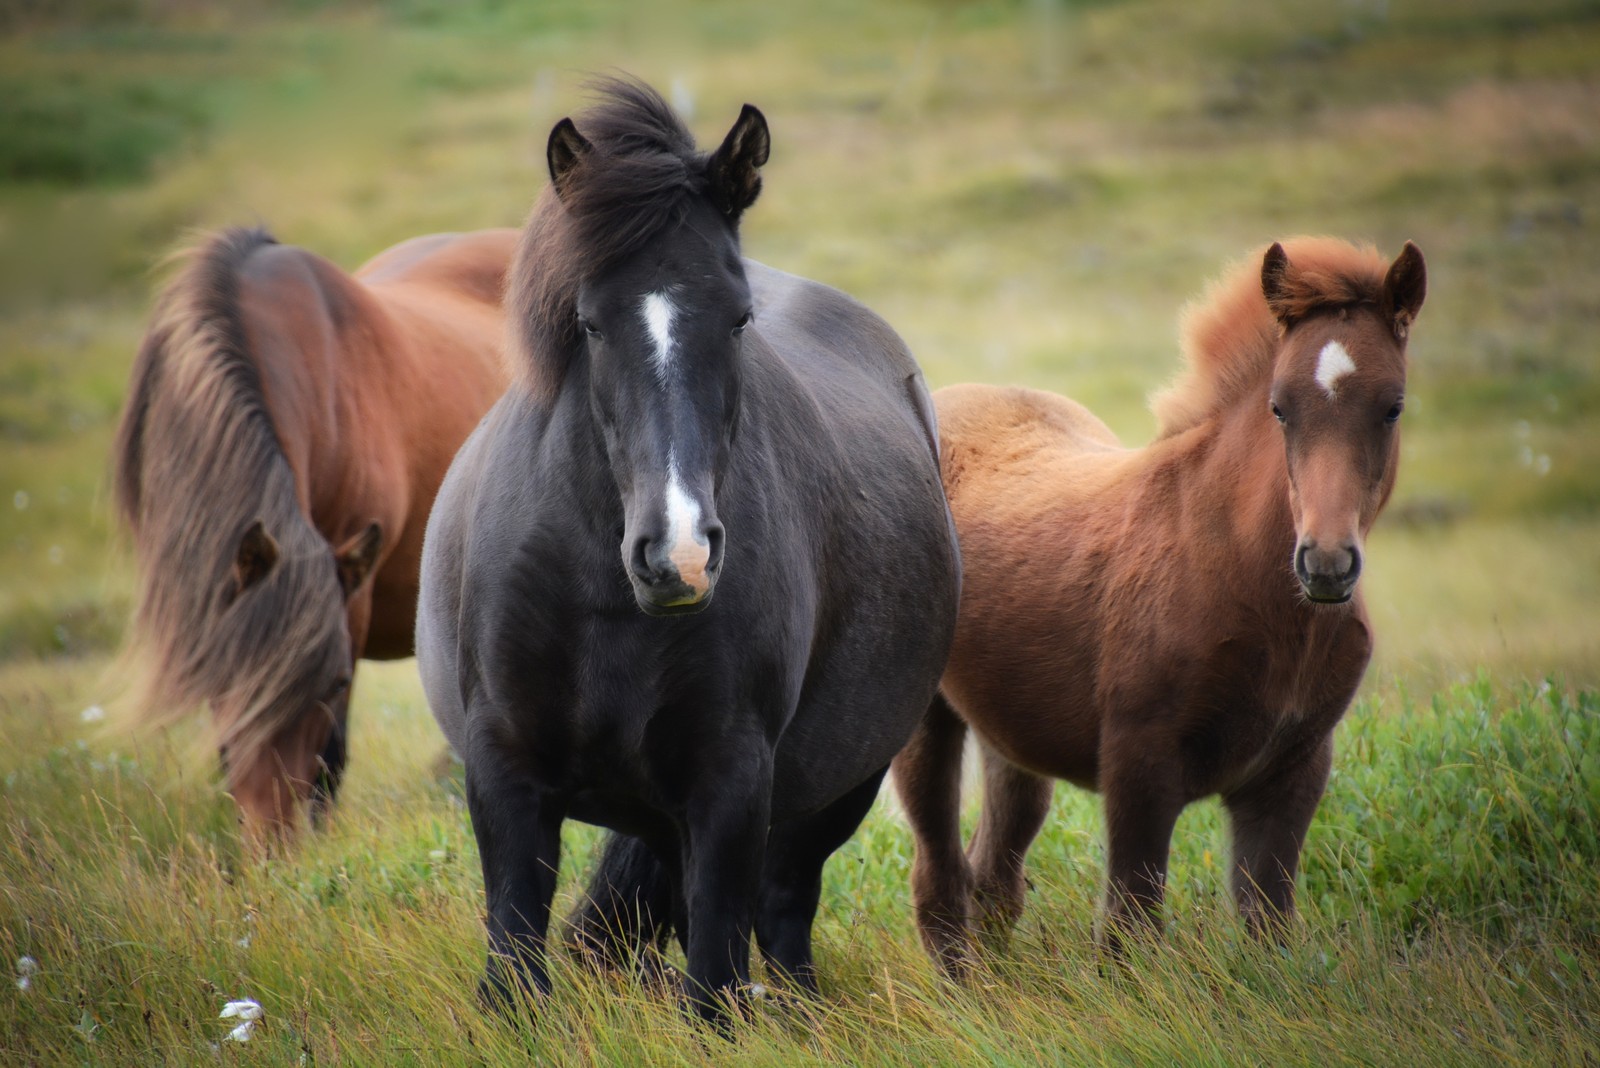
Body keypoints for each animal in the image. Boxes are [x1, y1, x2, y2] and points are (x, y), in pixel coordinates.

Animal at [416, 79, 960, 1023]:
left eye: (738, 319)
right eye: (590, 323)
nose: (680, 556)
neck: (601, 596)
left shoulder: (731, 781)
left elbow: (712, 980)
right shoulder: (504, 771)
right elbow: (515, 961)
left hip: (838, 786)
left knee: (782, 913)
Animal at [896, 238, 1433, 972]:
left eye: (1393, 407)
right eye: (1280, 407)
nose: (1325, 564)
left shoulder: (1292, 773)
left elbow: (1267, 926)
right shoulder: (1139, 763)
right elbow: (1129, 928)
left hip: (1010, 732)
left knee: (994, 871)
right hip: (924, 720)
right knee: (939, 877)